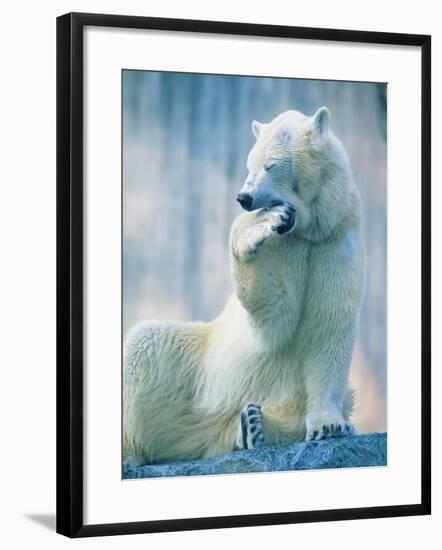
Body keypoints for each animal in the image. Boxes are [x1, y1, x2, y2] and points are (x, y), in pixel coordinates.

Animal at [122, 108, 364, 470]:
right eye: (249, 165)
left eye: (271, 164)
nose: (244, 197)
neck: (310, 229)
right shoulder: (287, 244)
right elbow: (273, 312)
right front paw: (260, 225)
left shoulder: (335, 240)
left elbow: (329, 329)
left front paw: (330, 425)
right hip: (195, 365)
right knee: (144, 344)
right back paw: (131, 451)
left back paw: (252, 426)